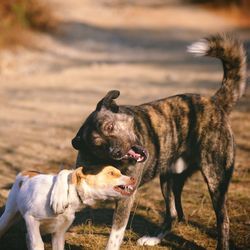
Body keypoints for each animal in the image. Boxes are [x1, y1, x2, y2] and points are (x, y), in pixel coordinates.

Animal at [0, 166, 136, 250]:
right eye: (111, 173)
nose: (133, 179)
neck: (69, 196)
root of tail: (26, 172)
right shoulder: (31, 219)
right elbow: (38, 243)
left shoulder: (59, 234)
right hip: (8, 217)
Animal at [50, 33, 246, 250]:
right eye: (97, 144)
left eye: (110, 127)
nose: (116, 152)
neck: (106, 162)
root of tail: (214, 102)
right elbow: (66, 175)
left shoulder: (126, 196)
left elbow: (115, 235)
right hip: (169, 179)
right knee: (175, 213)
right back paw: (154, 238)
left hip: (216, 179)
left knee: (222, 219)